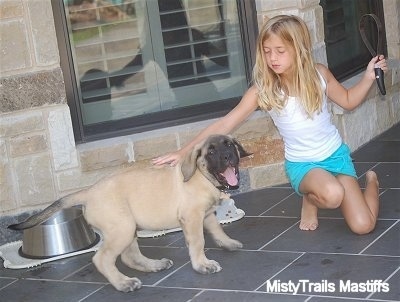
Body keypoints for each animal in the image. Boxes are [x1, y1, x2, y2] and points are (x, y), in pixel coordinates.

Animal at [8, 134, 250, 292]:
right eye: (211, 152)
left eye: (230, 145)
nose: (228, 156)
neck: (202, 176)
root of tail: (88, 192)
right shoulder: (192, 218)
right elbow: (198, 242)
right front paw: (203, 265)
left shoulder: (206, 215)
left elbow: (217, 229)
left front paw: (227, 243)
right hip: (121, 228)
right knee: (102, 258)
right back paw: (123, 283)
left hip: (127, 227)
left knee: (129, 255)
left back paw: (154, 265)